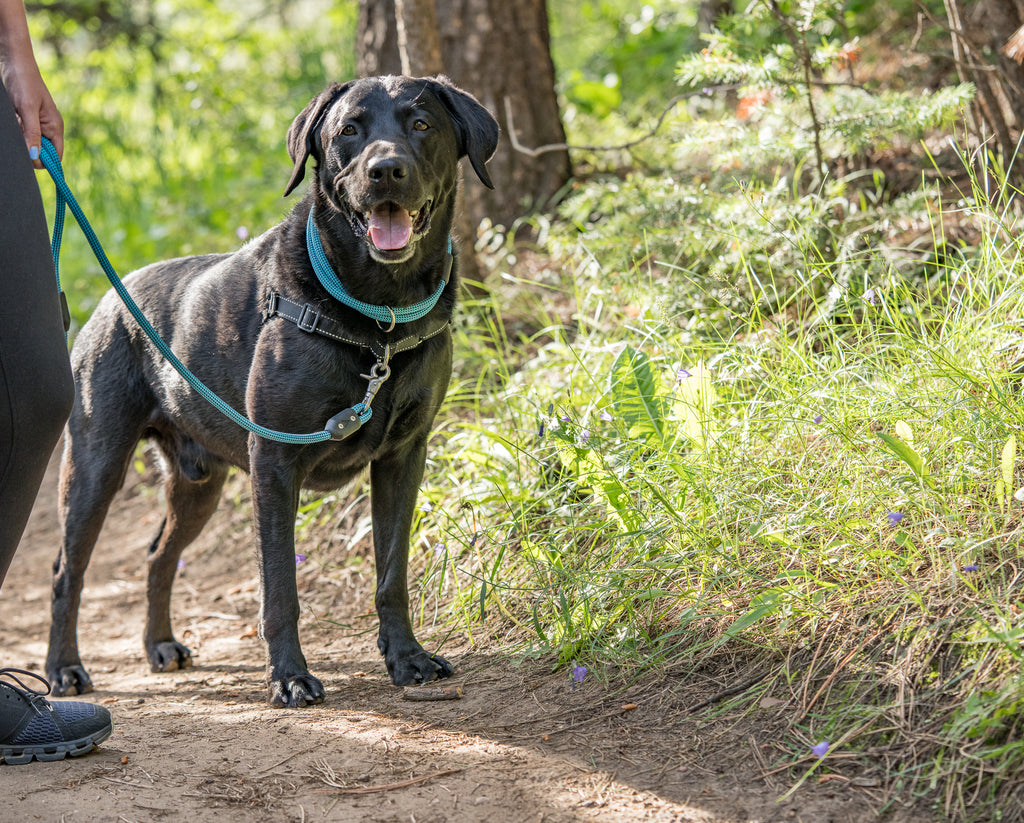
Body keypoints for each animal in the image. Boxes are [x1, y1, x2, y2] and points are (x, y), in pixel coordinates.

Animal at [46, 75, 501, 708]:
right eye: (349, 129)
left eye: (422, 124)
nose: (385, 170)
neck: (378, 317)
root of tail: (113, 297)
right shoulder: (276, 464)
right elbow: (280, 585)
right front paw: (289, 676)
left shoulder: (404, 456)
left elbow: (392, 573)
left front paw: (406, 658)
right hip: (94, 465)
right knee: (68, 571)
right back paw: (64, 669)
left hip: (198, 485)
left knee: (159, 556)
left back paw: (159, 645)